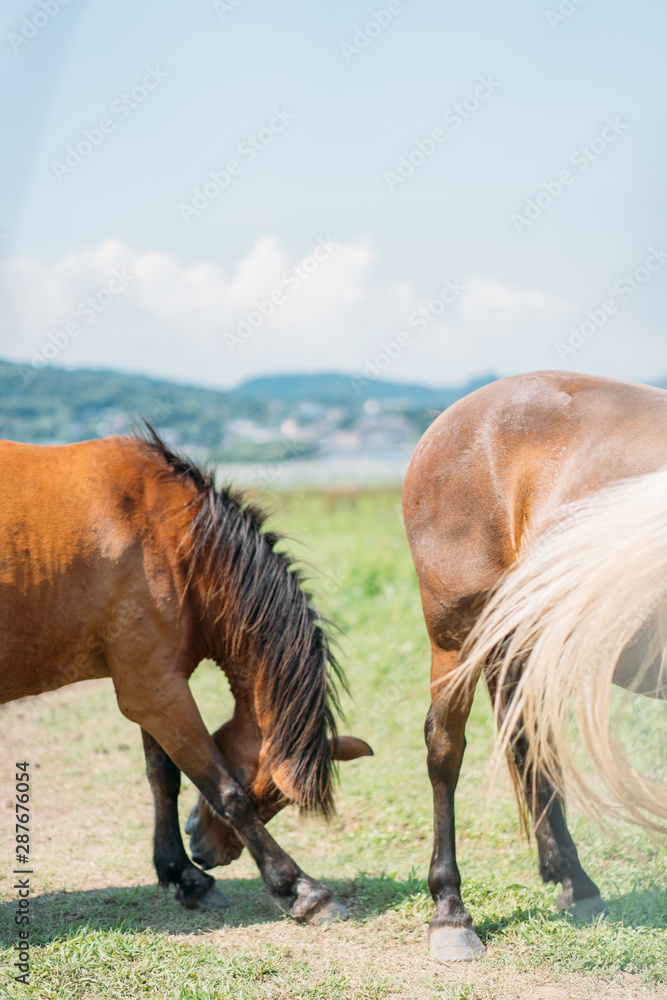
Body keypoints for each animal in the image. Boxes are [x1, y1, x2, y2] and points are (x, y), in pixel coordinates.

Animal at [0, 426, 371, 920]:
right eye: (259, 788)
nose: (207, 853)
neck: (175, 538)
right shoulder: (155, 692)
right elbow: (225, 791)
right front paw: (298, 888)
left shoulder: (156, 683)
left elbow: (165, 779)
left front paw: (183, 876)